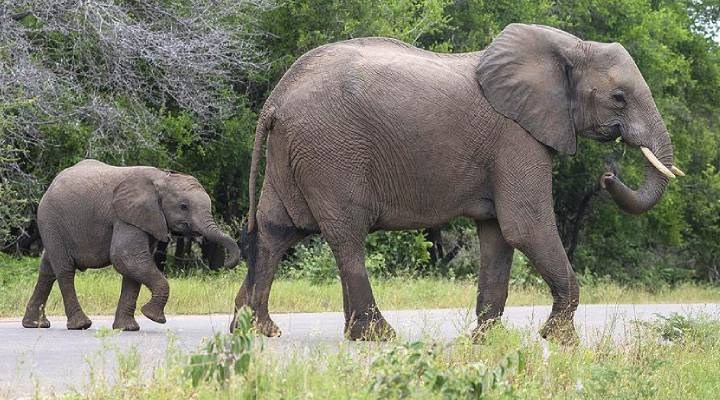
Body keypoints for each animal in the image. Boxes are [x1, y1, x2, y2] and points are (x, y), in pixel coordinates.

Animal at [22, 159, 240, 332]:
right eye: (183, 206)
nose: (227, 264)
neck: (162, 177)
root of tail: (51, 184)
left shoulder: (147, 219)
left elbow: (133, 268)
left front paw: (128, 328)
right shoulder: (125, 217)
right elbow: (126, 258)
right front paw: (152, 316)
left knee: (47, 269)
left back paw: (35, 325)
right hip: (51, 220)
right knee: (65, 270)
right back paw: (81, 325)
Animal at [235, 25, 680, 342]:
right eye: (619, 98)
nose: (608, 175)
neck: (569, 47)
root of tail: (276, 98)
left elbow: (498, 235)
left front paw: (485, 339)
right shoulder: (516, 137)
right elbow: (526, 226)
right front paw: (560, 340)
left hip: (292, 154)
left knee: (276, 229)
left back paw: (255, 329)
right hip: (331, 152)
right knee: (346, 236)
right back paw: (375, 336)